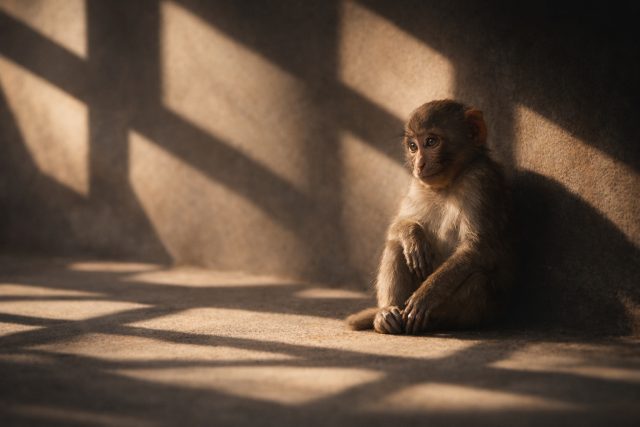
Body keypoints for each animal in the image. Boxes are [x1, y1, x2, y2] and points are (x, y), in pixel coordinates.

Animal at [346, 99, 512, 335]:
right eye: (413, 146)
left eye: (431, 141)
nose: (419, 164)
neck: (449, 183)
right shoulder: (417, 185)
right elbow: (397, 226)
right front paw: (412, 236)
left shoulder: (480, 182)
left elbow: (478, 248)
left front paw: (426, 296)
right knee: (396, 245)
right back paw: (386, 315)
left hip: (483, 308)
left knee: (478, 280)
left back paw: (430, 321)